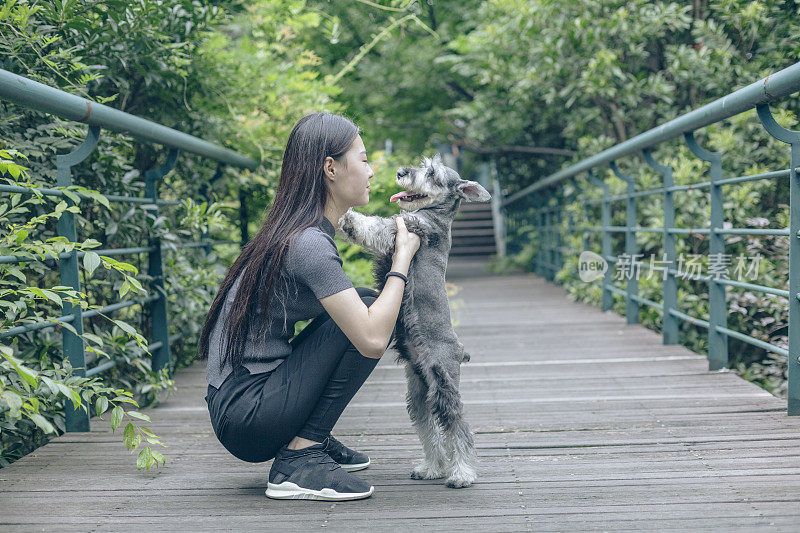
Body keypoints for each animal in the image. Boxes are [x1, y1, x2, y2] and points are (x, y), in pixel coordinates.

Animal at [336, 154, 490, 486]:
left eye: (432, 173)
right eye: (423, 165)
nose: (401, 172)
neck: (435, 217)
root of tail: (459, 351)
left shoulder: (403, 231)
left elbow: (376, 225)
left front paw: (350, 219)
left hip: (444, 383)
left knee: (457, 425)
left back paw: (461, 473)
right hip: (419, 391)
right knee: (429, 429)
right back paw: (431, 468)